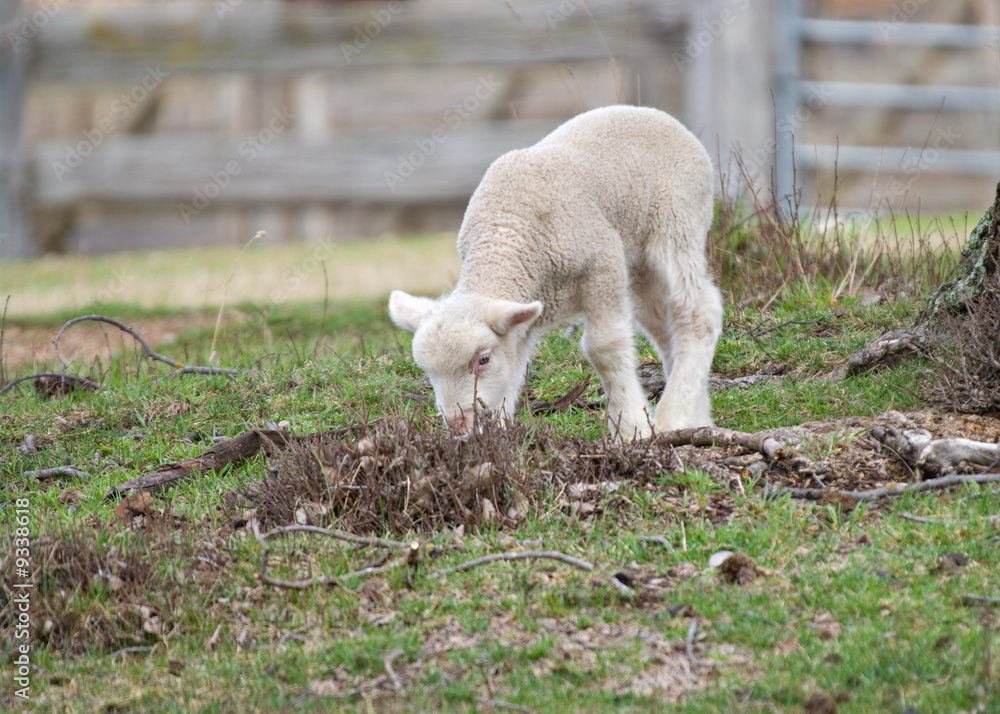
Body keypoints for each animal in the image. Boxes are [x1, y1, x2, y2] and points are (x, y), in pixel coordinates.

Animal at [389, 105, 723, 441]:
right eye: (427, 371)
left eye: (483, 360)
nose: (458, 423)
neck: (505, 231)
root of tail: (655, 113)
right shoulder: (522, 317)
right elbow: (513, 373)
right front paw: (497, 436)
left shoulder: (602, 264)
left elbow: (604, 348)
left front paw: (631, 429)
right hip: (640, 268)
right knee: (664, 326)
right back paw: (696, 417)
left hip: (677, 224)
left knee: (699, 312)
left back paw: (673, 415)